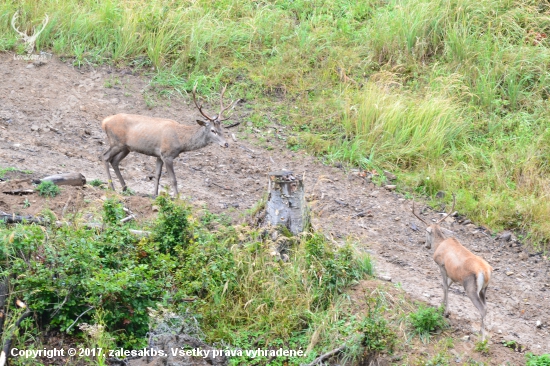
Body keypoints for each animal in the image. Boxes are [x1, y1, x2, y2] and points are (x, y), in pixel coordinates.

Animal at [102, 85, 239, 197]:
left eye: (221, 129)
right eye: (212, 130)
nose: (226, 144)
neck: (181, 141)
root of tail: (105, 122)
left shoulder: (159, 155)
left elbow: (157, 175)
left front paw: (155, 195)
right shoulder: (167, 154)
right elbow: (173, 179)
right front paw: (177, 198)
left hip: (126, 147)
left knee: (114, 161)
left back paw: (124, 188)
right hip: (116, 142)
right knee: (104, 157)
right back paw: (112, 187)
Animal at [414, 196, 496, 342]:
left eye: (425, 232)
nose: (426, 245)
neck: (439, 244)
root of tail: (486, 272)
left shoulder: (441, 265)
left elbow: (444, 286)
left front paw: (446, 312)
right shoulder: (452, 274)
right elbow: (447, 286)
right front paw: (441, 306)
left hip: (470, 288)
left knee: (482, 309)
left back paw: (481, 339)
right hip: (484, 289)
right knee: (486, 307)